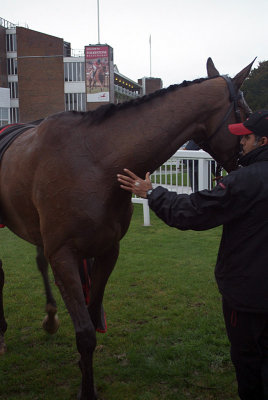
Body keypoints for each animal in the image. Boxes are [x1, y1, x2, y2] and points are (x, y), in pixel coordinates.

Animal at [0, 57, 253, 398]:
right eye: (247, 114)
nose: (246, 161)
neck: (95, 163)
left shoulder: (108, 250)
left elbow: (93, 316)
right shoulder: (63, 255)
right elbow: (85, 332)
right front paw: (87, 390)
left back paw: (50, 317)